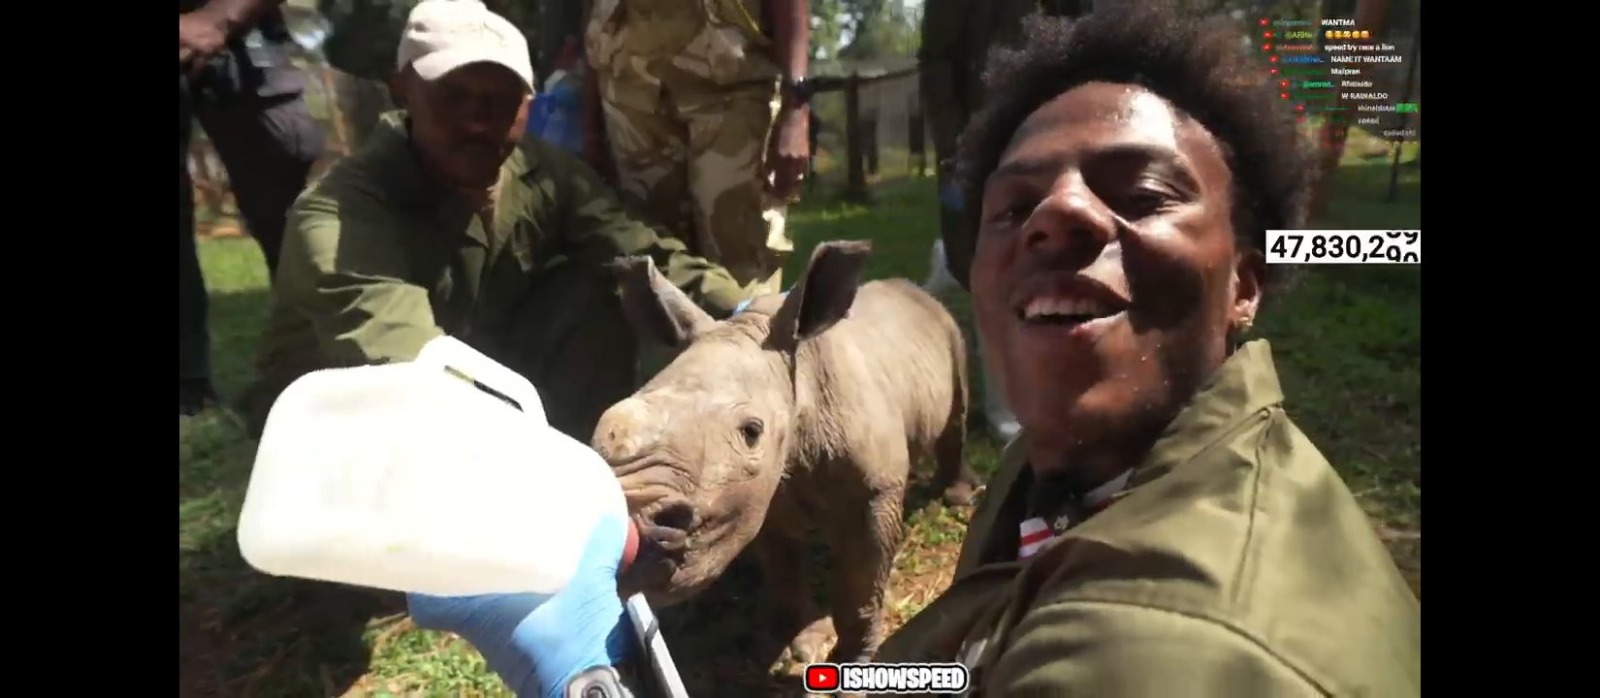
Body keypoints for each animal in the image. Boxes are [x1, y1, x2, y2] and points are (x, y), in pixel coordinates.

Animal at [592, 240, 978, 665]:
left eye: (751, 432)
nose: (633, 528)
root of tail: (916, 290)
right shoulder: (759, 494)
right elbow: (782, 568)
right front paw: (792, 646)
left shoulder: (875, 491)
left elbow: (860, 586)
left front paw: (851, 663)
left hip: (949, 329)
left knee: (957, 410)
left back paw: (957, 497)